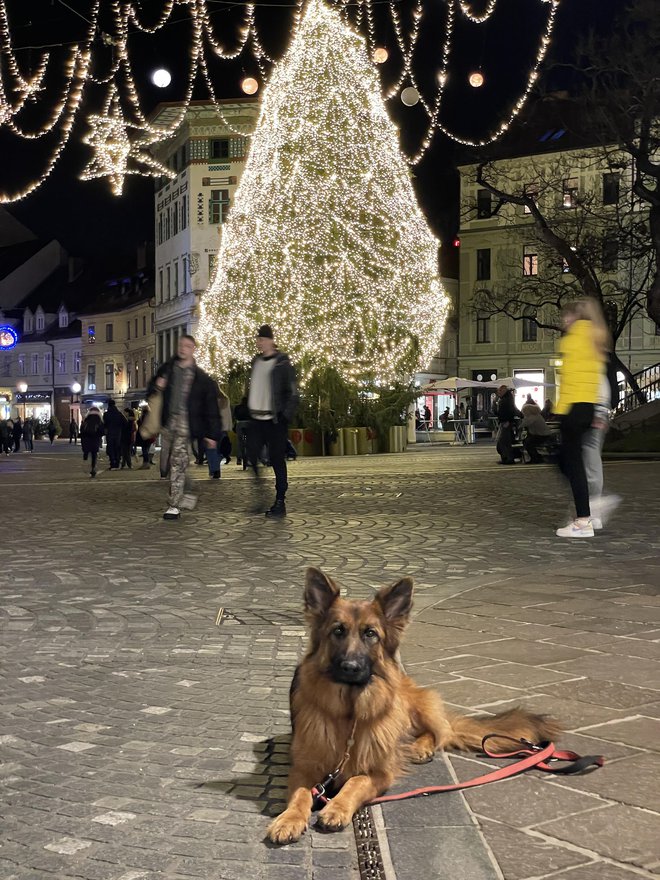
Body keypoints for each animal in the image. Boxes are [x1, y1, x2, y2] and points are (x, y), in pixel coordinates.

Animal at [266, 572, 560, 844]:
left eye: (370, 634)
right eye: (338, 631)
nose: (351, 667)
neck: (350, 714)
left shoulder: (380, 772)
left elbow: (355, 782)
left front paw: (337, 808)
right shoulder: (303, 768)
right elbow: (301, 794)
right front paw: (289, 819)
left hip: (410, 706)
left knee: (439, 732)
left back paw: (419, 747)